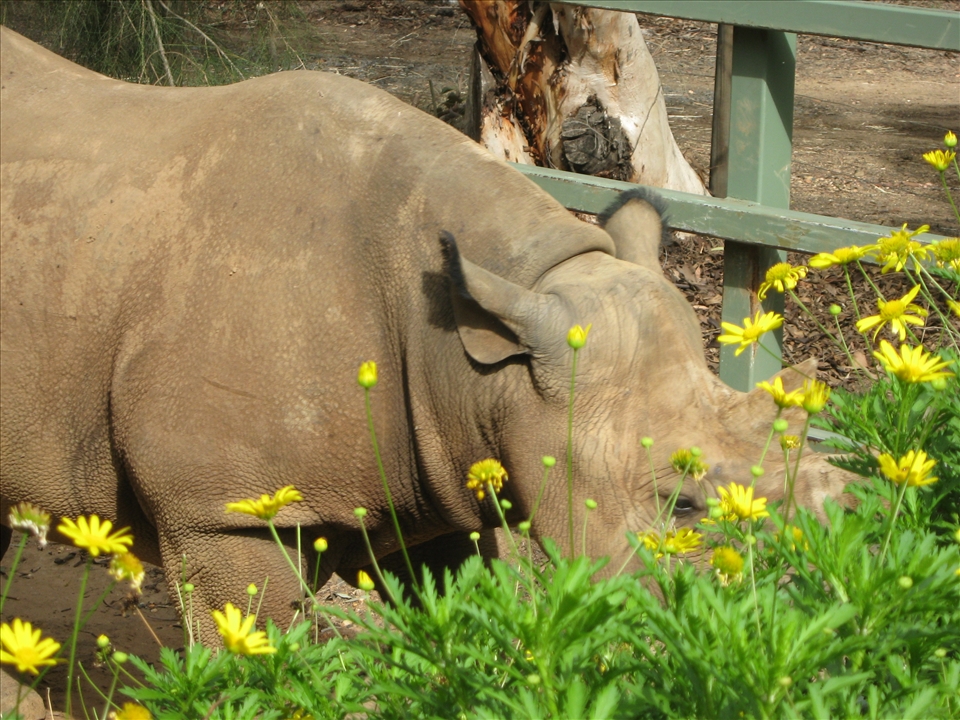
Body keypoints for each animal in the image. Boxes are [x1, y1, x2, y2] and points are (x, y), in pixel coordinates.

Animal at [0, 27, 848, 637]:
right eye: (685, 506)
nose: (811, 615)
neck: (479, 354)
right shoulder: (218, 510)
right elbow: (250, 657)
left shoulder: (443, 472)